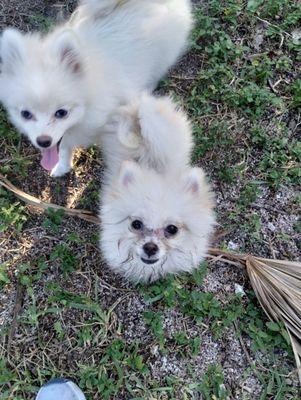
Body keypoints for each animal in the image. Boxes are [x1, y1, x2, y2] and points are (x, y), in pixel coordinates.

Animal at [0, 0, 192, 177]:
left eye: (61, 113)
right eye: (25, 114)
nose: (43, 141)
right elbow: (63, 148)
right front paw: (62, 167)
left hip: (162, 58)